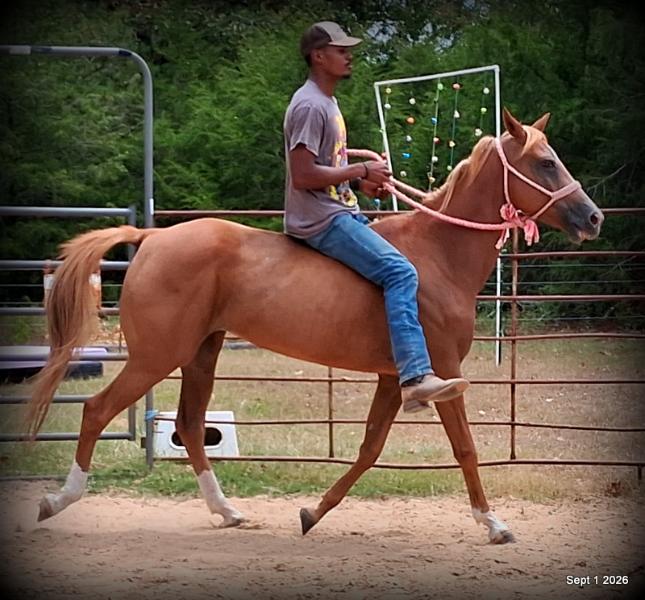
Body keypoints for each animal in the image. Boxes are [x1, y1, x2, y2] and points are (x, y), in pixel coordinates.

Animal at [26, 108, 603, 544]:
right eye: (545, 162)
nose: (593, 217)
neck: (439, 255)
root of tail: (153, 237)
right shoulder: (442, 369)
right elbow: (464, 448)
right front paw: (494, 524)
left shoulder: (393, 379)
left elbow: (369, 449)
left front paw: (312, 513)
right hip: (156, 356)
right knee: (98, 410)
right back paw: (57, 500)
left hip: (201, 353)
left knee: (189, 425)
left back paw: (228, 511)